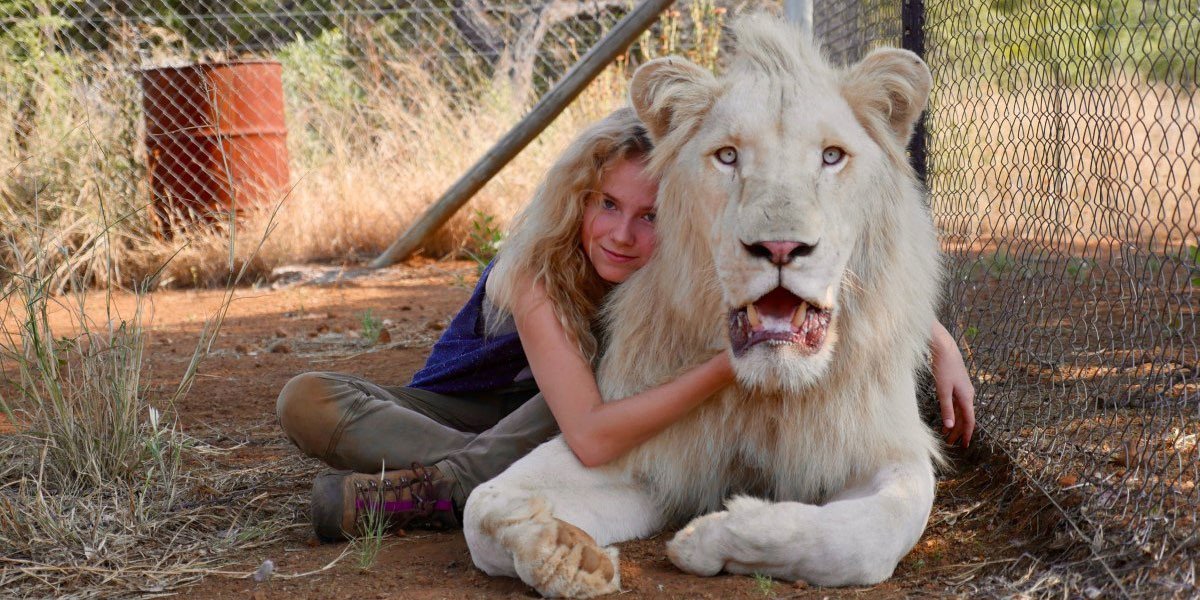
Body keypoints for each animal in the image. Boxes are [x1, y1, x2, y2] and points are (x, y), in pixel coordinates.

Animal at [463, 14, 940, 595]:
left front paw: (713, 536)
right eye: (728, 156)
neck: (766, 394)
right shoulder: (639, 445)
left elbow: (866, 536)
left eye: (831, 156)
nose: (780, 247)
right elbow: (483, 505)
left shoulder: (886, 448)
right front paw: (565, 553)